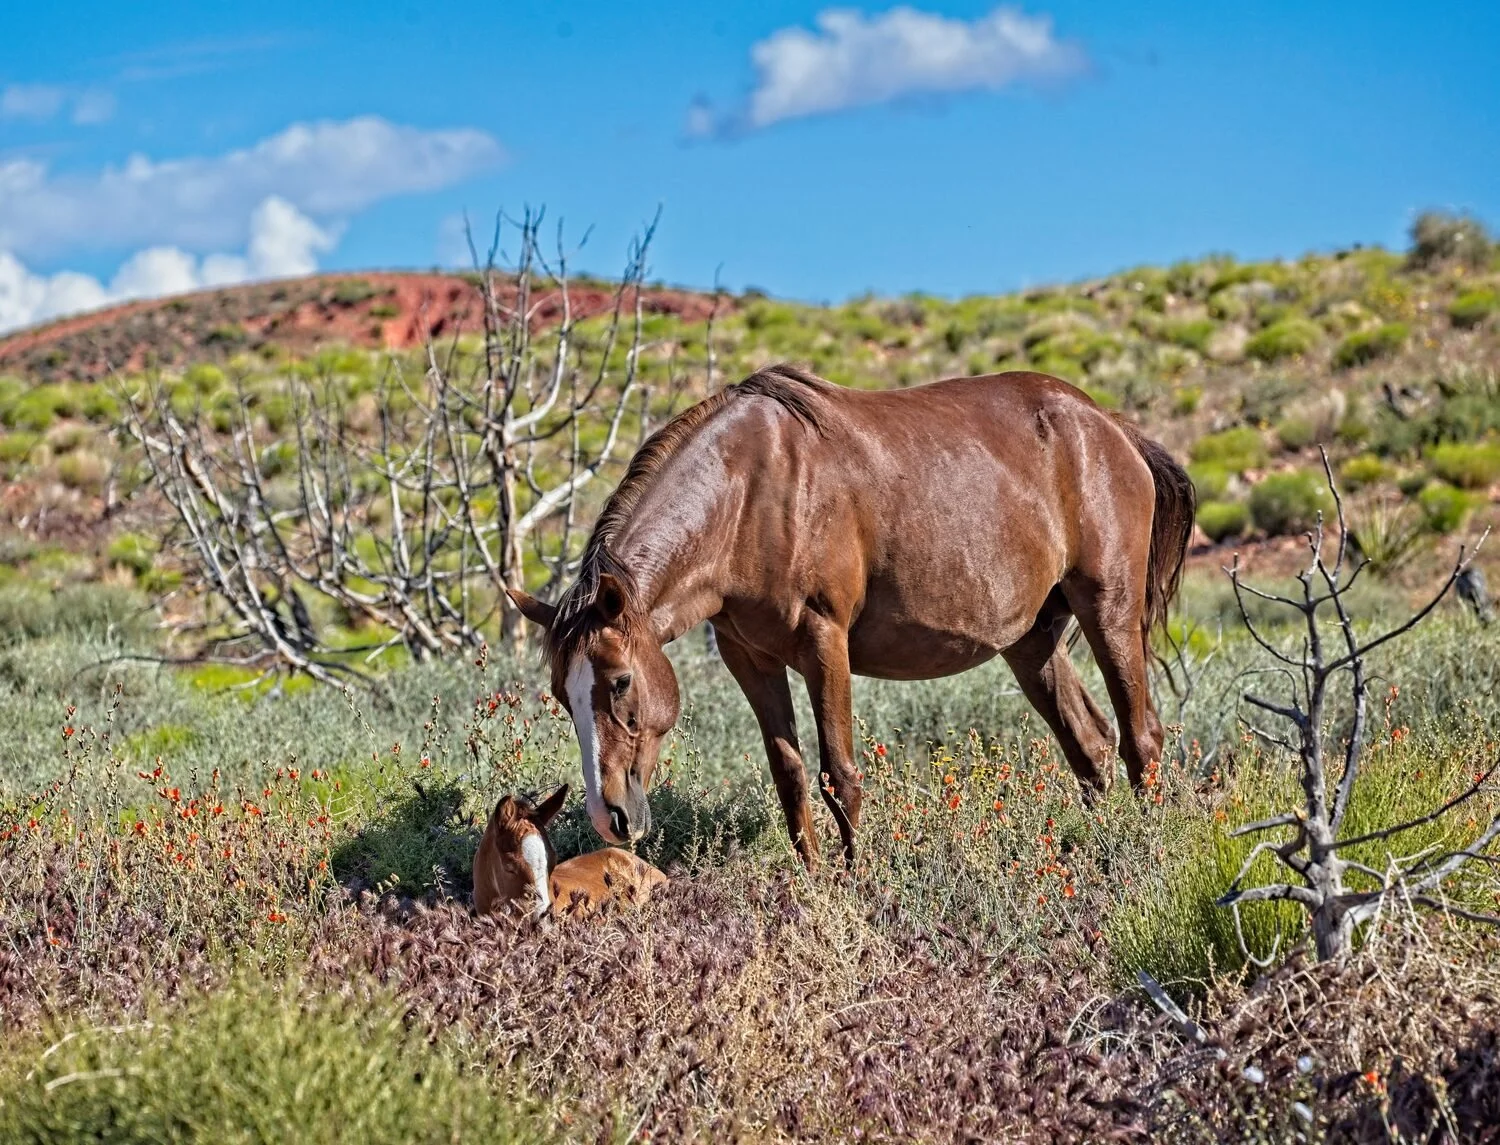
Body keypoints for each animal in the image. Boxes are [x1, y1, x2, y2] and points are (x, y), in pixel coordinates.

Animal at [509, 365, 1195, 868]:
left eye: (620, 681)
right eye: (562, 696)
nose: (610, 817)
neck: (749, 492)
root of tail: (1110, 427)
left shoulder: (824, 643)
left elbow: (839, 775)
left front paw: (856, 882)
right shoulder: (749, 658)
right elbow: (789, 776)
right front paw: (812, 882)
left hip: (1107, 608)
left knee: (1141, 736)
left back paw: (1146, 851)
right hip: (1030, 641)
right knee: (1090, 744)